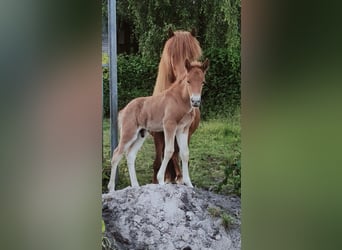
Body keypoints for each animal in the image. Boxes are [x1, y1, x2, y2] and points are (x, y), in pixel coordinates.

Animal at [107, 58, 208, 191]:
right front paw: (161, 180)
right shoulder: (169, 125)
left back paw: (136, 186)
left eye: (203, 82)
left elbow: (185, 153)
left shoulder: (183, 129)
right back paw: (111, 189)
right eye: (188, 81)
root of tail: (123, 110)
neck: (180, 100)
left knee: (130, 155)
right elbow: (169, 151)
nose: (195, 101)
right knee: (116, 154)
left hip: (141, 134)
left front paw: (189, 184)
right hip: (129, 133)